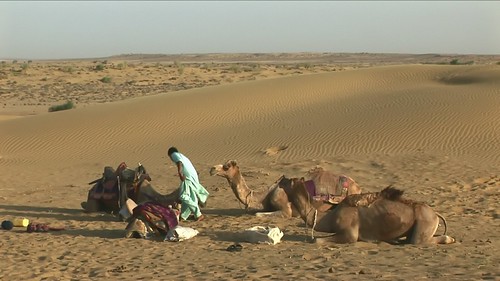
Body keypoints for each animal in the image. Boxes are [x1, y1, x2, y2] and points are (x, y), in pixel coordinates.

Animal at [209, 160, 362, 217]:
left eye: (227, 166)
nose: (212, 169)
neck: (264, 196)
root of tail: (358, 186)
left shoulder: (285, 209)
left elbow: (258, 214)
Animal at [288, 176, 456, 244]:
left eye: (288, 182)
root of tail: (435, 214)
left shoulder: (350, 233)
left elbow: (317, 240)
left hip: (424, 222)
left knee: (418, 241)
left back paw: (450, 239)